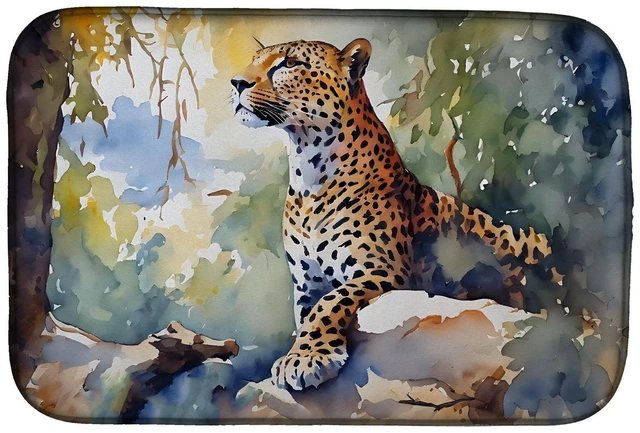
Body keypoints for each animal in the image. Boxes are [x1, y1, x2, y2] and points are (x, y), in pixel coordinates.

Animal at [230, 38, 564, 391]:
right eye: (254, 60)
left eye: (289, 63)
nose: (236, 83)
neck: (308, 171)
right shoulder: (307, 283)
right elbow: (310, 312)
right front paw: (302, 352)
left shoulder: (383, 271)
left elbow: (331, 302)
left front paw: (307, 358)